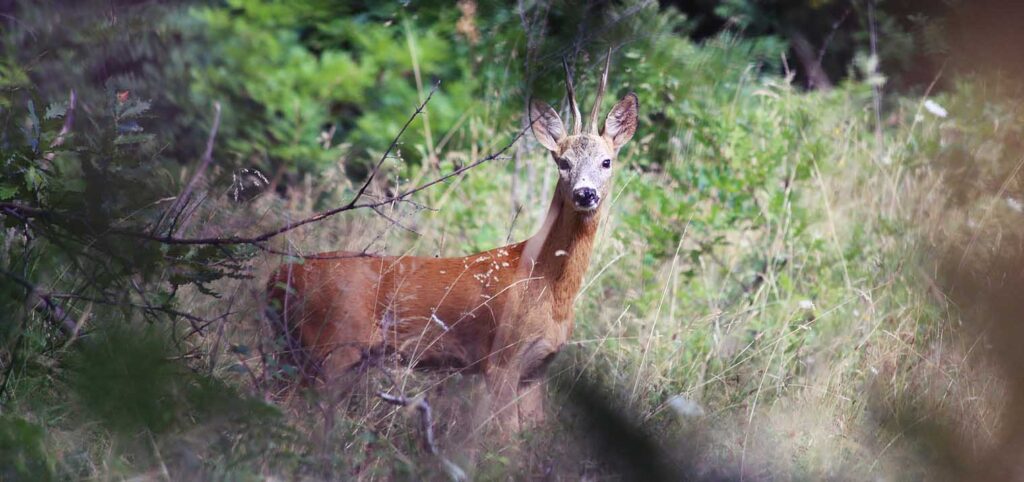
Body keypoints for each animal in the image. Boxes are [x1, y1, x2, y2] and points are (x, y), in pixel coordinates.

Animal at [270, 53, 638, 433]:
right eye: (563, 162)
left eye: (606, 161)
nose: (585, 193)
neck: (548, 287)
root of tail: (277, 278)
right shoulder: (501, 358)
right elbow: (506, 440)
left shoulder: (537, 370)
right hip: (329, 344)